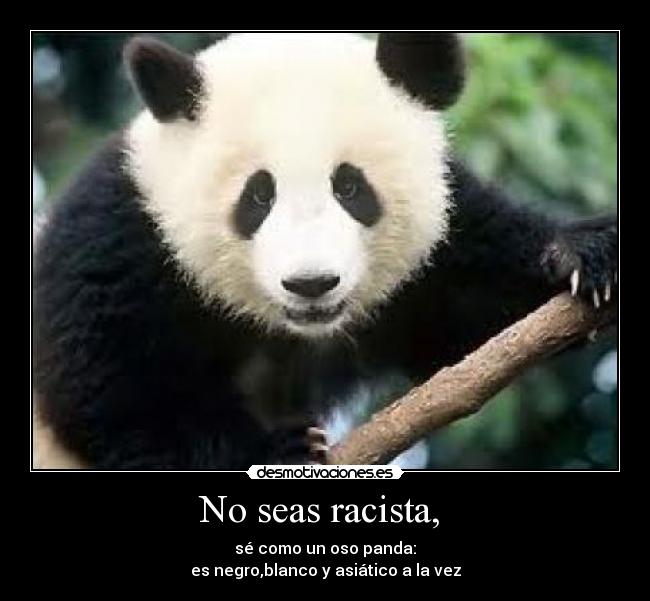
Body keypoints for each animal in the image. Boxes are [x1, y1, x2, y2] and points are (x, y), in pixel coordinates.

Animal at [33, 33, 618, 470]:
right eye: (258, 195)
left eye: (351, 187)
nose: (310, 284)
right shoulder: (118, 243)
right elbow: (115, 396)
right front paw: (272, 450)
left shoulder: (439, 252)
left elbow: (470, 322)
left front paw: (580, 255)